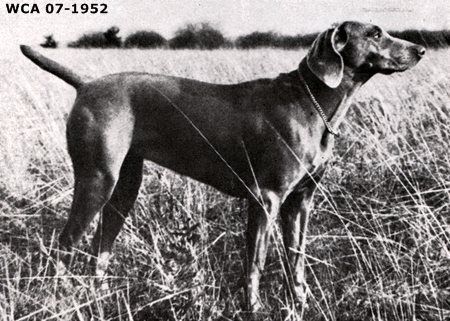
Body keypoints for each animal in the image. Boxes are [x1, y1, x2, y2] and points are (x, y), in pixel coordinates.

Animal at [20, 21, 426, 312]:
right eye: (375, 33)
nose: (421, 49)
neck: (311, 102)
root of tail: (87, 85)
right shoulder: (266, 198)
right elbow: (255, 263)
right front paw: (254, 309)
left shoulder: (301, 201)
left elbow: (295, 259)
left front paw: (300, 303)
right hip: (97, 180)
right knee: (64, 244)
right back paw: (62, 297)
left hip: (125, 186)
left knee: (100, 247)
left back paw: (99, 298)